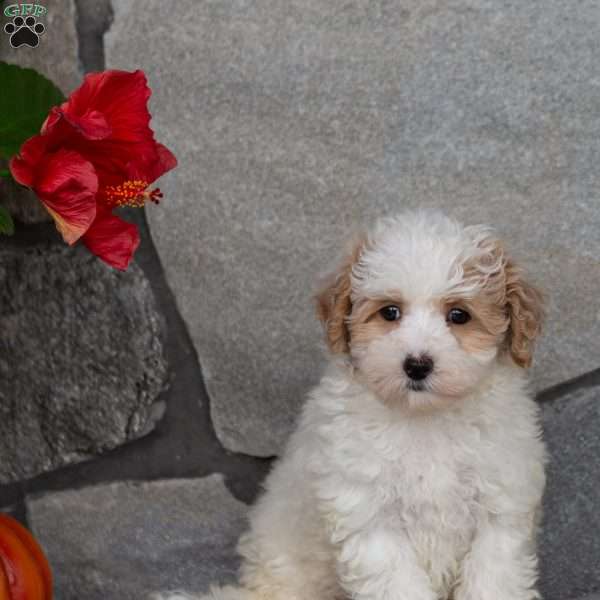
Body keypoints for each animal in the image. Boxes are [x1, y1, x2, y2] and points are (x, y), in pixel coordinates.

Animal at [156, 212, 548, 600]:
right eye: (390, 312)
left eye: (459, 315)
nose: (417, 365)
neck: (423, 418)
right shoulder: (370, 518)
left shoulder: (499, 511)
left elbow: (493, 580)